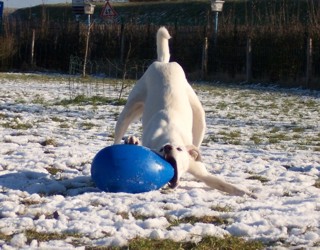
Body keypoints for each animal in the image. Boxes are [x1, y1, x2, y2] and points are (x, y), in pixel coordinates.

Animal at [114, 26, 254, 196]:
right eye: (161, 149)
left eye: (179, 149)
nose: (168, 148)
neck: (170, 135)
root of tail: (163, 63)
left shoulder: (198, 168)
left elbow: (224, 184)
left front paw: (248, 193)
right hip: (128, 111)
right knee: (118, 135)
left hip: (199, 117)